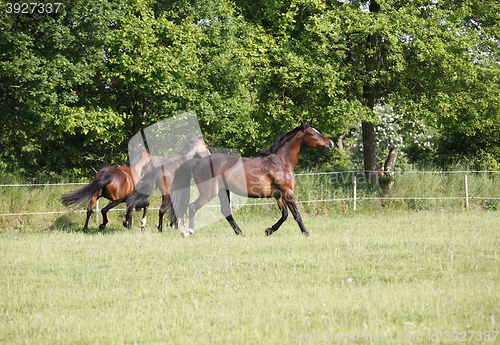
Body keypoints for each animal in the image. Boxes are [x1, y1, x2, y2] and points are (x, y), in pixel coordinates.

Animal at [167, 121, 332, 236]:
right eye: (312, 134)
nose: (330, 144)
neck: (280, 161)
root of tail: (199, 162)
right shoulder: (287, 193)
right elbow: (296, 215)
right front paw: (306, 233)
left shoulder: (278, 195)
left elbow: (284, 215)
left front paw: (268, 230)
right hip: (208, 193)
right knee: (192, 207)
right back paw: (188, 231)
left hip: (223, 192)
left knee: (226, 212)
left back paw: (240, 233)